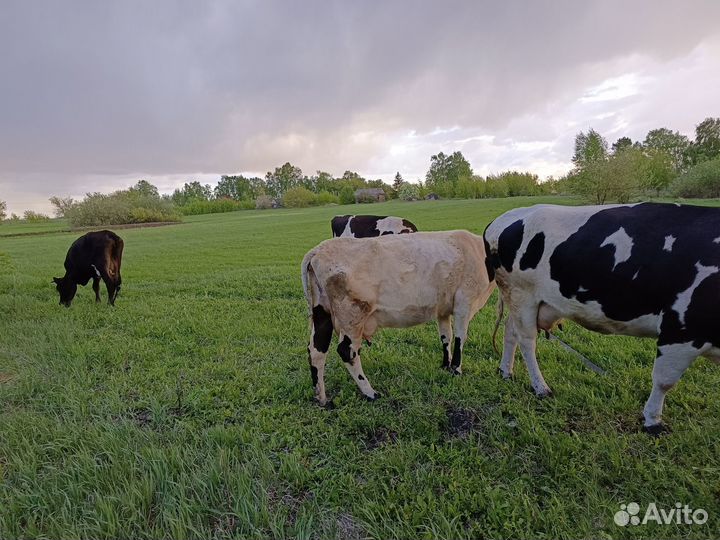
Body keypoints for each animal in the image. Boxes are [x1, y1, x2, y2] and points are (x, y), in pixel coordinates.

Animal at [301, 231, 495, 406]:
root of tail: (318, 250)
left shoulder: (442, 309)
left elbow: (446, 336)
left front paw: (445, 365)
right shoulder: (465, 302)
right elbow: (461, 337)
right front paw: (456, 370)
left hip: (322, 311)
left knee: (316, 351)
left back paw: (321, 398)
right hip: (352, 315)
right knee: (346, 352)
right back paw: (370, 393)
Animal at [483, 202, 720, 434]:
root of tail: (505, 217)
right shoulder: (680, 330)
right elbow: (664, 381)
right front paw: (653, 421)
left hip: (518, 299)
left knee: (510, 332)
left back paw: (506, 371)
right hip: (522, 294)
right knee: (527, 342)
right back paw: (541, 387)